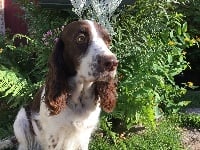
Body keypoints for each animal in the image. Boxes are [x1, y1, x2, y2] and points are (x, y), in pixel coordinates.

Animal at [13, 20, 117, 150]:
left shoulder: (84, 135)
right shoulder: (53, 136)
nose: (112, 63)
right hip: (21, 119)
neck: (79, 101)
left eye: (108, 41)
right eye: (81, 38)